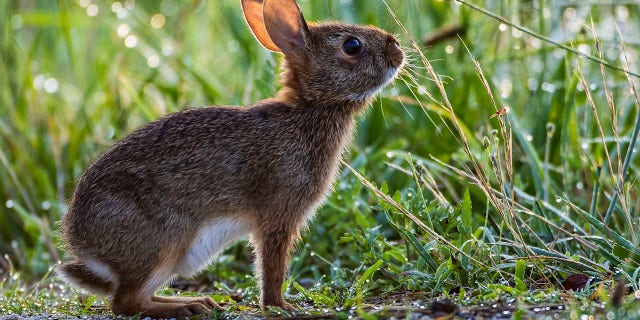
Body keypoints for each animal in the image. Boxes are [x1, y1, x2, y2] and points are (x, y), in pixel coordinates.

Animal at [57, 0, 402, 318]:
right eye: (352, 46)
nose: (396, 47)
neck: (311, 106)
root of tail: (84, 246)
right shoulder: (278, 214)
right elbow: (272, 267)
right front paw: (280, 307)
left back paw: (199, 302)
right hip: (164, 243)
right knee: (125, 302)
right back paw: (187, 307)